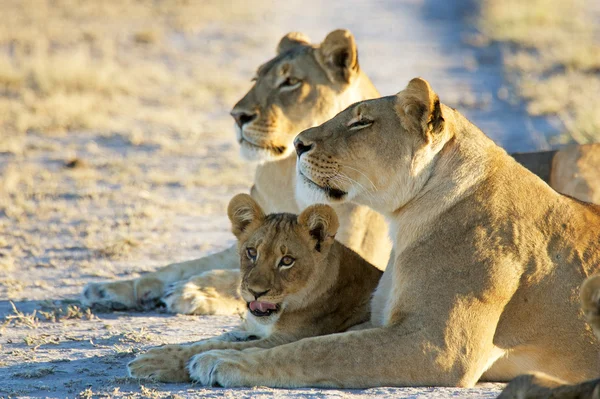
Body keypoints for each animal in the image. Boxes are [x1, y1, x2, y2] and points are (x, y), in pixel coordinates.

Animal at [127, 195, 382, 382]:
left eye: (287, 260)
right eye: (251, 252)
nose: (256, 292)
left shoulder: (287, 338)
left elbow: (212, 346)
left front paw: (156, 361)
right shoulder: (251, 330)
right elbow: (206, 341)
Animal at [182, 76, 600, 390]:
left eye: (361, 122)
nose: (298, 144)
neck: (404, 222)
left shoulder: (438, 347)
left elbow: (321, 350)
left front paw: (221, 361)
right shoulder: (381, 321)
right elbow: (317, 341)